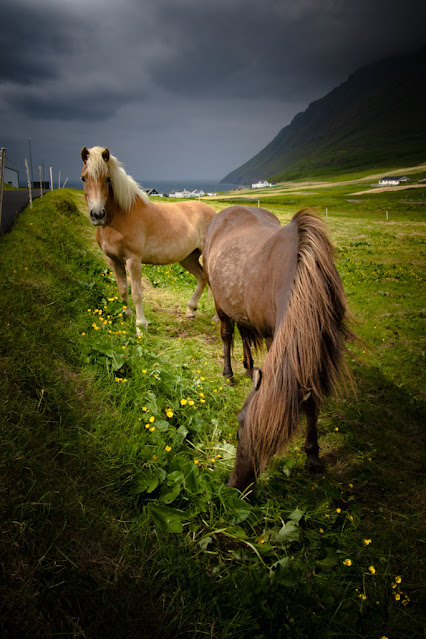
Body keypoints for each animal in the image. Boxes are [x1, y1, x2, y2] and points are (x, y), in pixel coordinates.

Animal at [79, 147, 216, 332]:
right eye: (83, 178)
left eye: (107, 178)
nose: (97, 215)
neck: (121, 216)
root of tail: (215, 214)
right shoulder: (114, 260)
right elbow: (123, 288)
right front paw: (127, 316)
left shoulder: (133, 260)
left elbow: (137, 293)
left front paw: (140, 326)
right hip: (188, 258)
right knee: (202, 277)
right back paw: (191, 310)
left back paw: (216, 318)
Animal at [203, 208, 352, 492]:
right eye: (238, 429)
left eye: (273, 444)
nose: (237, 486)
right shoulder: (276, 336)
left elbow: (311, 399)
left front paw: (313, 456)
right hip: (219, 302)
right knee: (227, 335)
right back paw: (228, 374)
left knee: (244, 333)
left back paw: (248, 368)